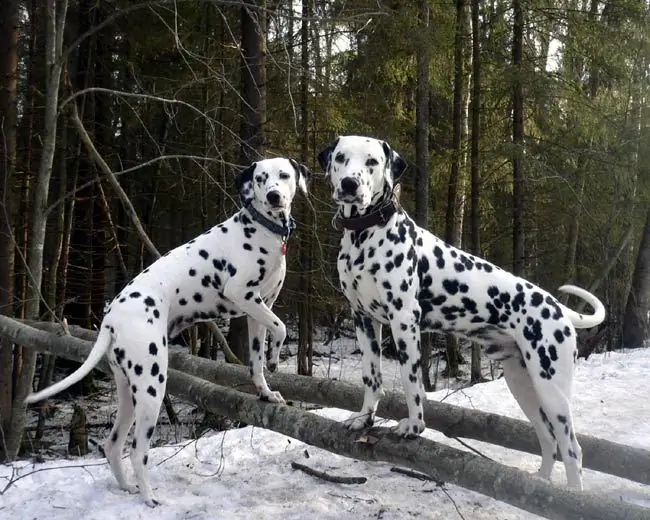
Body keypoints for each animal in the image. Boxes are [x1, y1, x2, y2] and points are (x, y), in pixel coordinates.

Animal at [25, 156, 308, 506]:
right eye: (260, 178)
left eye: (283, 175)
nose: (273, 195)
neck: (262, 230)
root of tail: (111, 317)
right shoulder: (241, 294)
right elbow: (281, 327)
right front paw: (276, 356)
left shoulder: (258, 309)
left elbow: (256, 361)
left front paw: (266, 390)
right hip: (151, 386)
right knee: (137, 451)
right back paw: (149, 497)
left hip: (128, 391)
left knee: (113, 444)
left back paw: (127, 487)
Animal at [316, 135, 604, 492]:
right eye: (341, 158)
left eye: (371, 161)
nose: (349, 184)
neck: (365, 237)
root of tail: (558, 308)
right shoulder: (363, 321)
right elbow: (372, 378)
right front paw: (364, 418)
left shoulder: (404, 322)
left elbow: (412, 382)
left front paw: (414, 426)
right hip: (523, 385)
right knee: (547, 439)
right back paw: (539, 483)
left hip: (553, 389)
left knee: (571, 448)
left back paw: (572, 494)